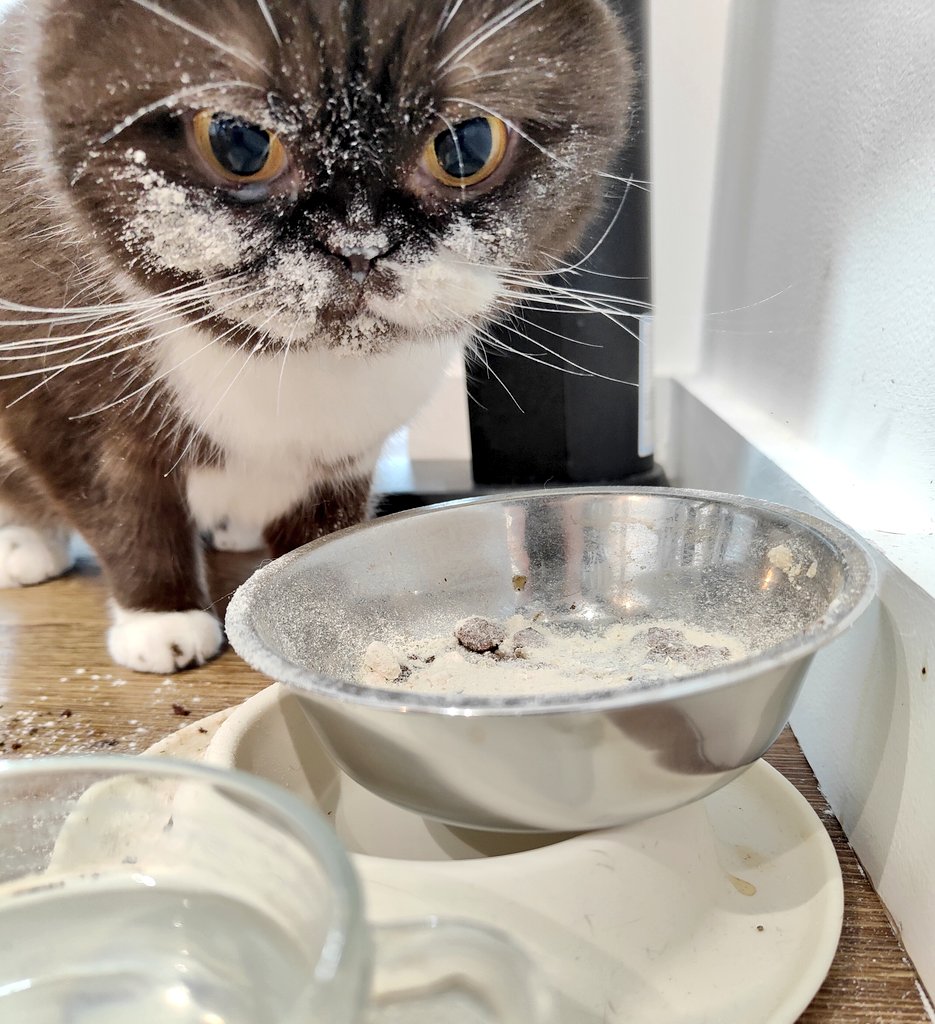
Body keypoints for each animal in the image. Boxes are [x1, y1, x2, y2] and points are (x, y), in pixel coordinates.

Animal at [0, 0, 634, 675]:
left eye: (468, 146)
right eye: (238, 142)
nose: (360, 245)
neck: (289, 367)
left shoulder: (346, 449)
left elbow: (324, 528)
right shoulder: (61, 401)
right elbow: (126, 507)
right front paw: (160, 619)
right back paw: (27, 547)